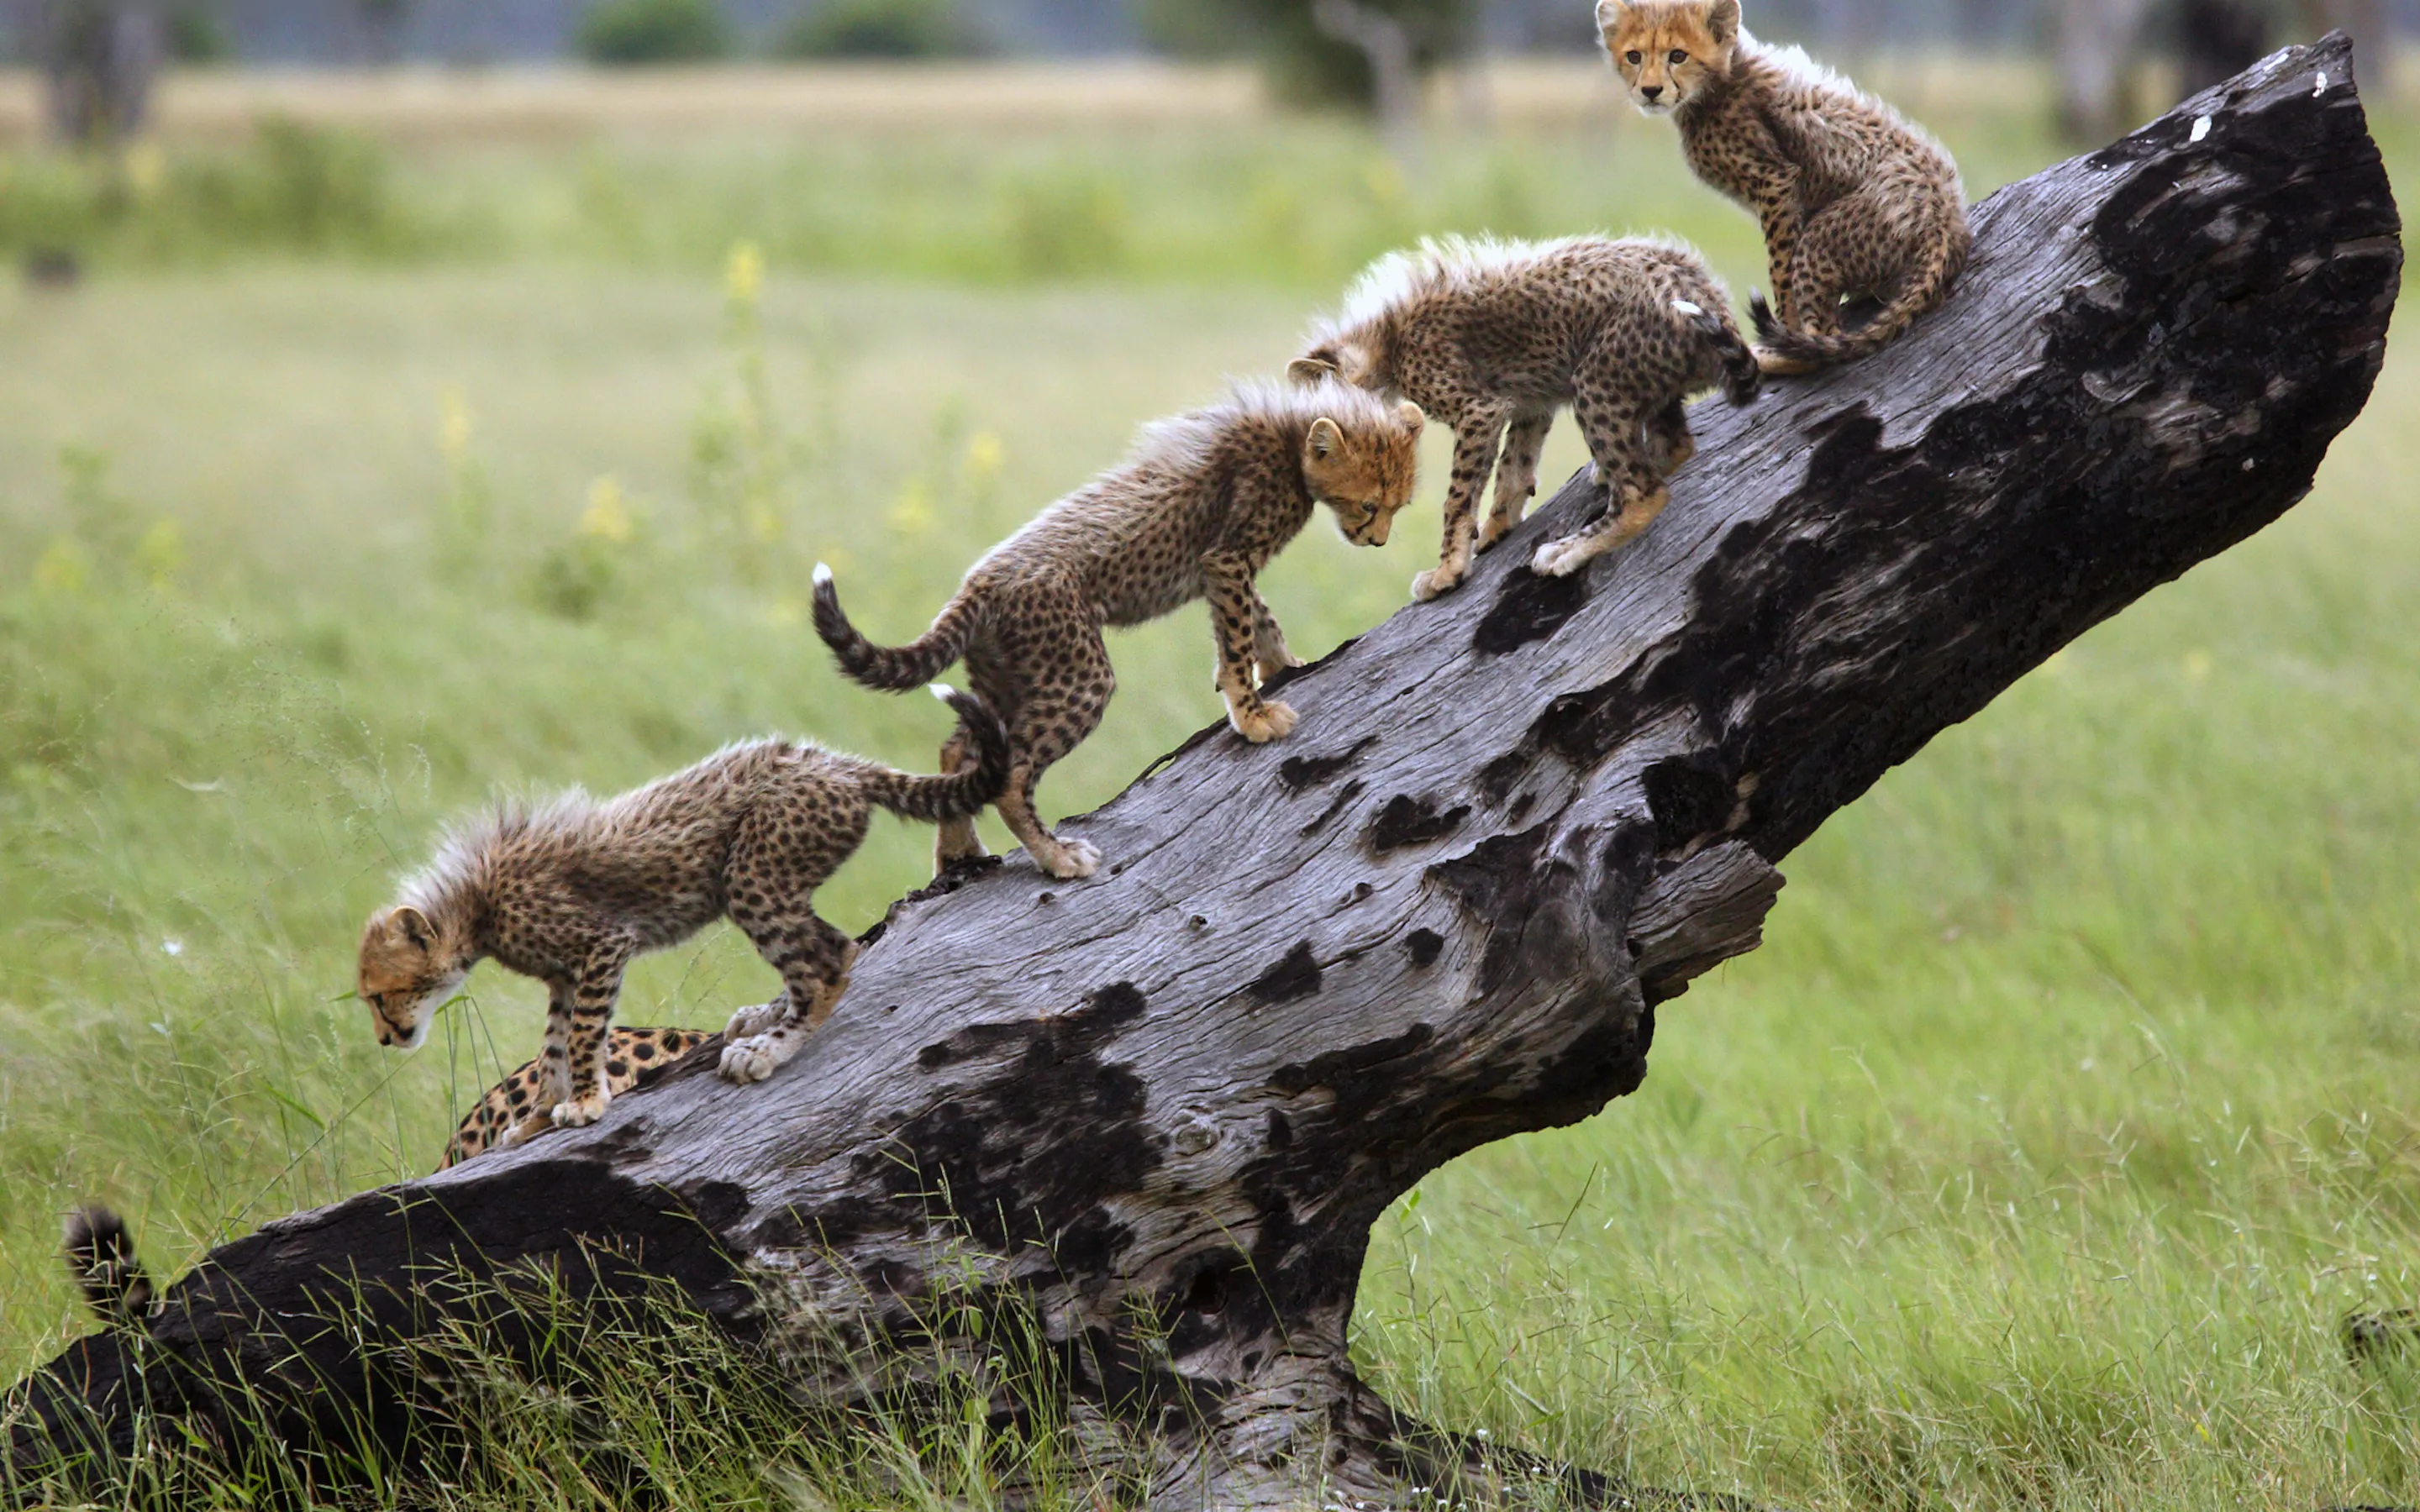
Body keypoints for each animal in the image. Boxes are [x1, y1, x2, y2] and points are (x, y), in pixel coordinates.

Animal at [358, 685, 1009, 1119]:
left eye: (380, 995)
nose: (385, 1040)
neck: (476, 906)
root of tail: (832, 761)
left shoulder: (602, 945)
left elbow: (584, 1034)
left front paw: (586, 1102)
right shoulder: (565, 975)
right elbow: (553, 1047)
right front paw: (538, 1117)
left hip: (752, 874)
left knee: (830, 960)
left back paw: (769, 1048)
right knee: (831, 950)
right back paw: (767, 1015)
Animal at [812, 378, 1425, 882]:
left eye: (1400, 505)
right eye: (1368, 504)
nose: (1378, 541)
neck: (1291, 437)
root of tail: (979, 580)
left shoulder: (1220, 568)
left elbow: (1259, 616)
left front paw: (1282, 665)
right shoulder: (1227, 558)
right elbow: (1237, 632)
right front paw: (1252, 713)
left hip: (1007, 676)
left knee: (961, 748)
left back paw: (958, 851)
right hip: (1077, 675)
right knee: (1010, 776)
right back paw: (1056, 856)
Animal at [1291, 234, 1760, 596]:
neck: (1386, 337)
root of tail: (1705, 290)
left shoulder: (1478, 410)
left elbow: (1458, 497)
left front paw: (1447, 571)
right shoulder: (1530, 403)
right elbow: (1514, 466)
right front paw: (1495, 528)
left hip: (1597, 382)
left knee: (1644, 492)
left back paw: (1568, 549)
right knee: (1675, 446)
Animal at [1599, 0, 1971, 374]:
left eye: (1678, 55)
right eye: (1634, 56)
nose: (1650, 91)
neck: (1718, 82)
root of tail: (1945, 218)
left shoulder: (1776, 181)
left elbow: (1782, 269)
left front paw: (1784, 325)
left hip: (1826, 237)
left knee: (1824, 337)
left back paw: (1773, 355)